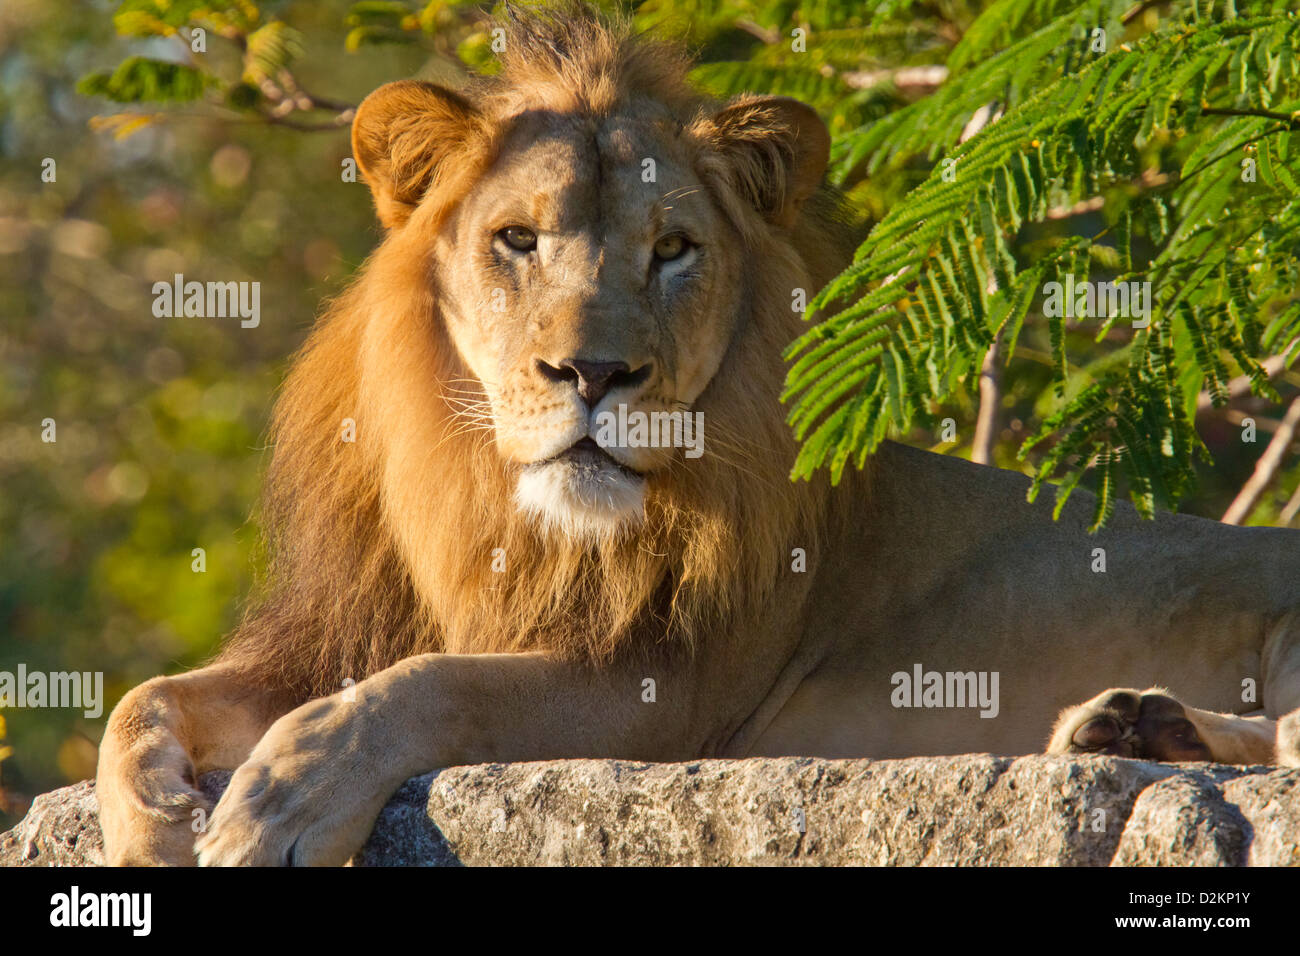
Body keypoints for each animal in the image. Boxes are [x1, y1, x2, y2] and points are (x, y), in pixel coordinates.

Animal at [96, 1, 1300, 868]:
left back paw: (1134, 728)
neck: (498, 514)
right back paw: (1129, 726)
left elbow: (431, 683)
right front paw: (151, 817)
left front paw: (282, 800)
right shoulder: (339, 630)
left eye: (672, 249)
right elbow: (142, 699)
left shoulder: (666, 692)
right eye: (517, 239)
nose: (594, 373)